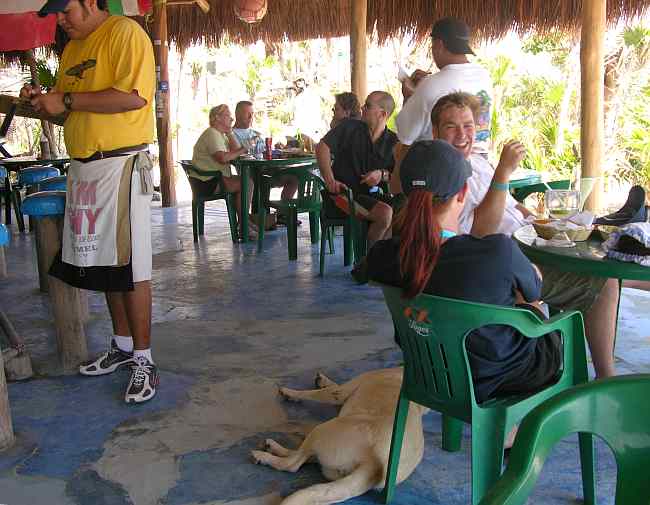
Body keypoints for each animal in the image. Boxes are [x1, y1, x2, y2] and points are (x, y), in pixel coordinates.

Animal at [251, 366, 428, 504]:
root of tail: (373, 464)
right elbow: (330, 385)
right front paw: (322, 380)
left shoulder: (340, 392)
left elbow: (317, 392)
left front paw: (290, 392)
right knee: (306, 457)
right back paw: (272, 447)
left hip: (323, 430)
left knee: (293, 463)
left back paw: (265, 455)